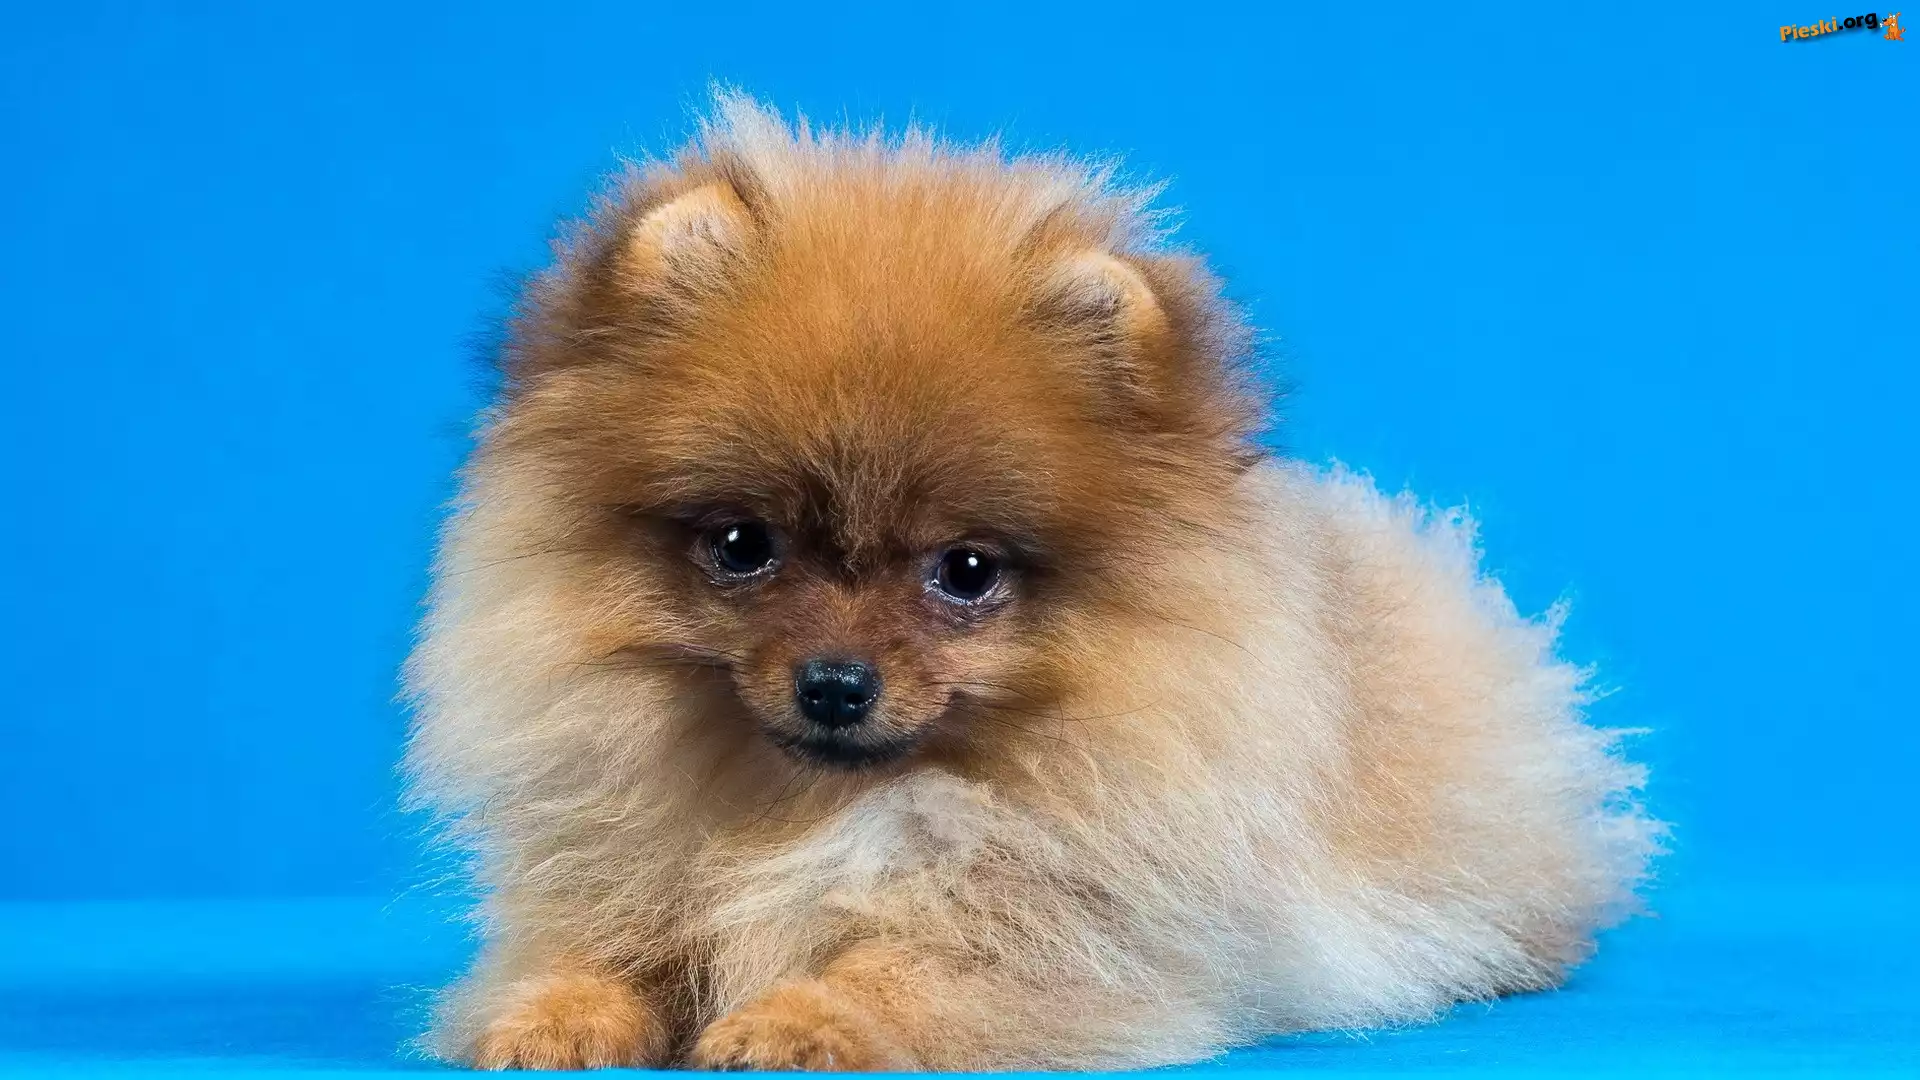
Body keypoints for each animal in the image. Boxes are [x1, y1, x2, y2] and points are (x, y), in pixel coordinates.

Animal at [402, 92, 1659, 1071]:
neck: (804, 806)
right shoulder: (615, 870)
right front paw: (557, 1014)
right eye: (743, 545)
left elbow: (912, 968)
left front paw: (796, 1020)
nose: (835, 684)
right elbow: (594, 948)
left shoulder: (1082, 934)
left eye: (965, 571)